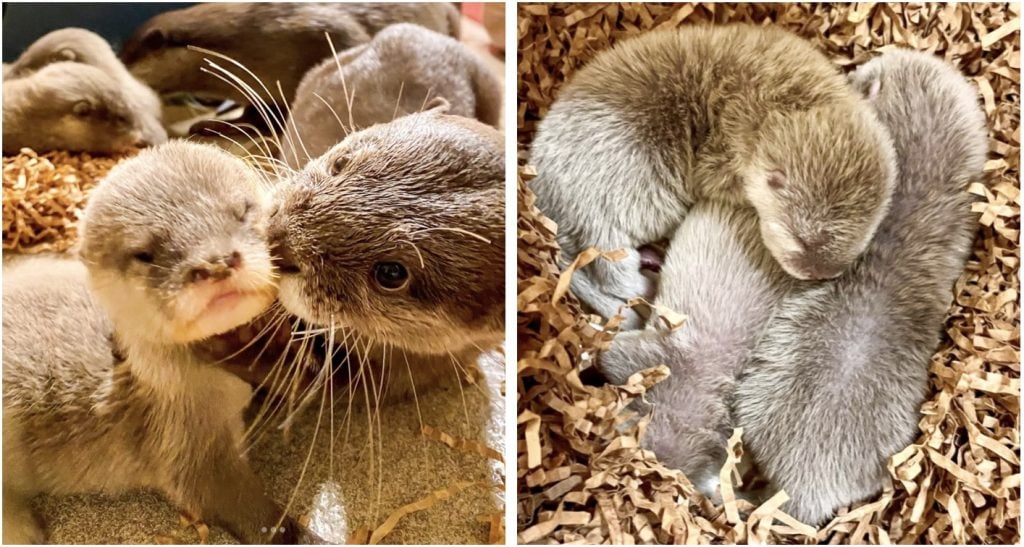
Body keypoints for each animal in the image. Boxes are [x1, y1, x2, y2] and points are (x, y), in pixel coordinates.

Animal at [2, 142, 313, 543]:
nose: (215, 263)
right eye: (144, 253)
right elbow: (228, 499)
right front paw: (291, 531)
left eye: (243, 210)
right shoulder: (183, 443)